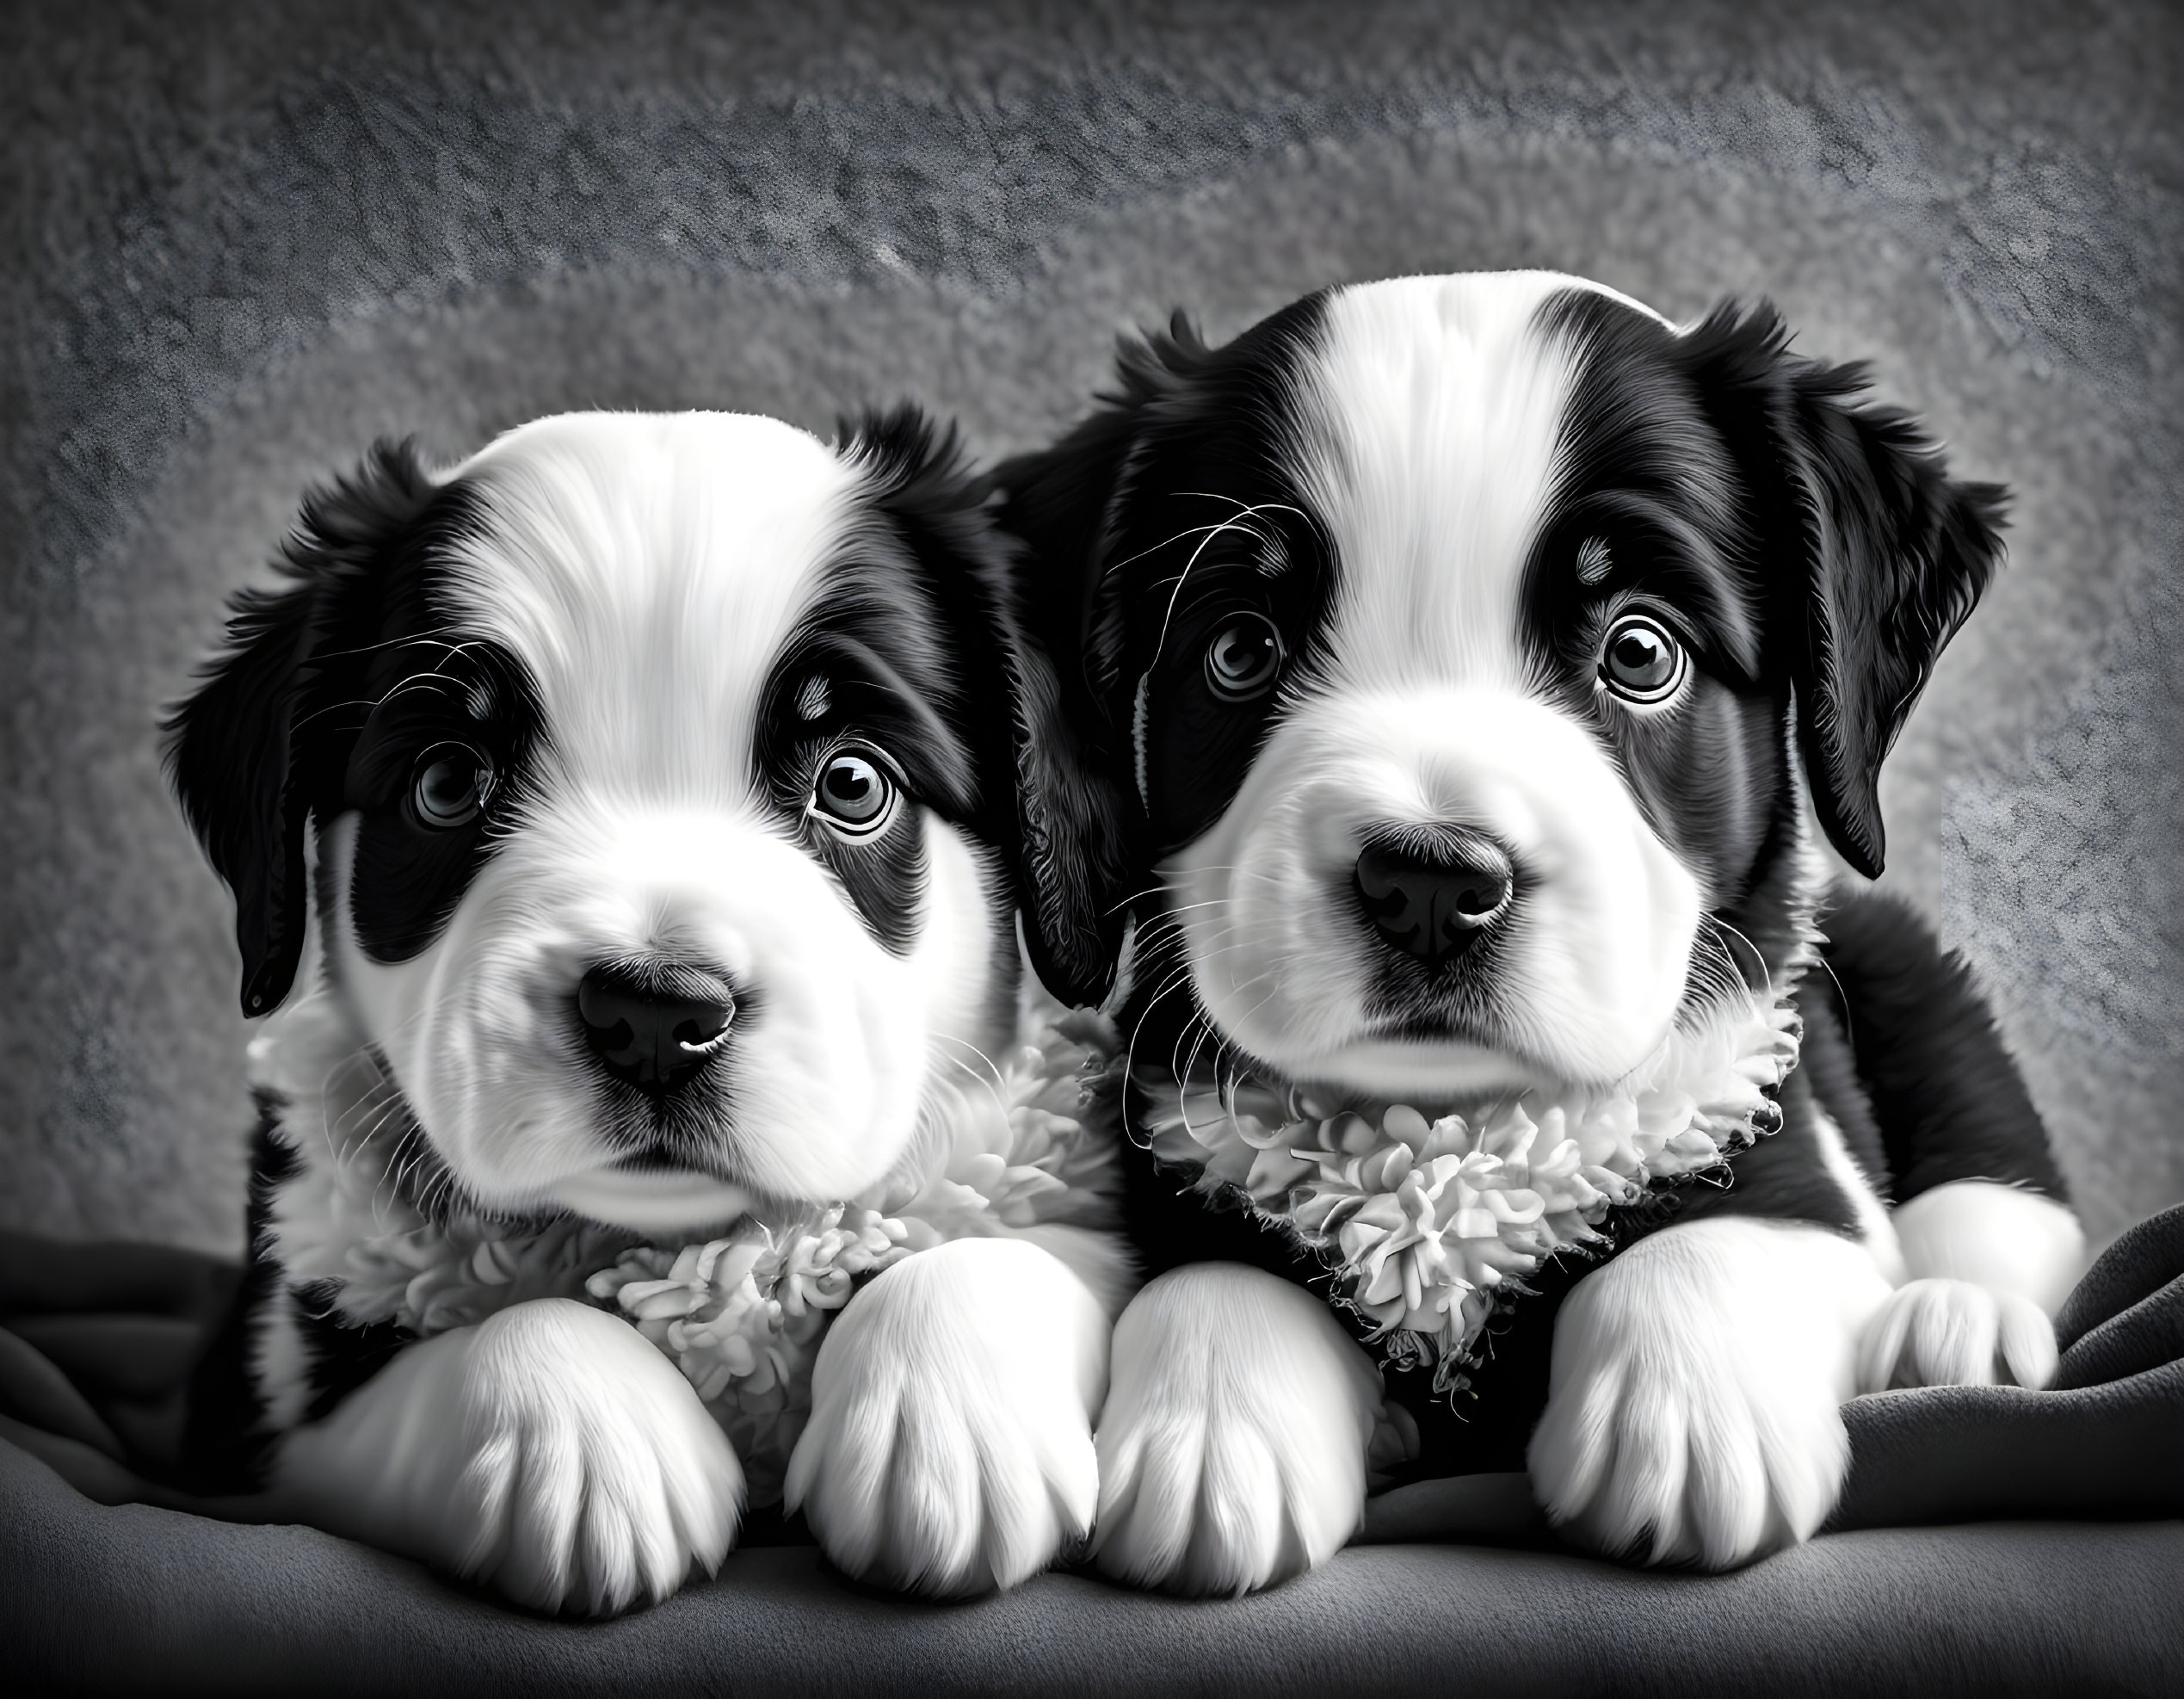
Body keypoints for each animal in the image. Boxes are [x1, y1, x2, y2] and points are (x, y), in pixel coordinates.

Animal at [168, 404, 1118, 1607]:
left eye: (854, 784)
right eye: (447, 783)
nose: (657, 1017)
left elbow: (1016, 1245)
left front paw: (945, 1429)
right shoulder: (256, 1416)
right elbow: (481, 1337)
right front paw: (584, 1438)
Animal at [996, 269, 2079, 1590]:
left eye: (1640, 650)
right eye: (1239, 649)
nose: (1428, 883)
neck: (1454, 1137)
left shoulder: (1790, 1155)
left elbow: (1720, 1232)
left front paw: (1688, 1412)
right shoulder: (1169, 1160)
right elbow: (1214, 1272)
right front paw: (1216, 1429)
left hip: (1917, 986)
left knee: (2001, 1203)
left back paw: (1953, 1325)